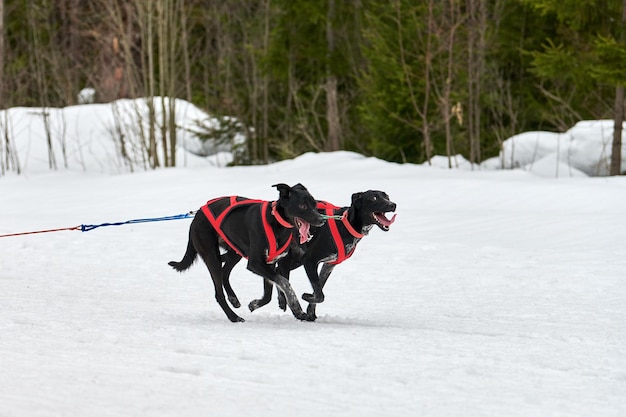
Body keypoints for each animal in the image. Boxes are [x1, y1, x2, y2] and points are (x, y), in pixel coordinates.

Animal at [168, 182, 324, 322]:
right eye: (302, 206)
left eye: (315, 205)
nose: (321, 220)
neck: (276, 222)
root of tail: (197, 215)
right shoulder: (255, 263)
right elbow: (285, 282)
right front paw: (296, 306)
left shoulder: (270, 263)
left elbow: (268, 294)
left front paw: (255, 304)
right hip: (212, 256)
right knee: (219, 293)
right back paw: (233, 317)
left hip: (234, 253)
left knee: (224, 273)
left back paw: (233, 299)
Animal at [244, 190, 394, 320]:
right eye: (374, 198)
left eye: (387, 196)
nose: (393, 205)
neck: (346, 225)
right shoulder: (309, 261)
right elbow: (319, 294)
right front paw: (306, 296)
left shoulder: (328, 265)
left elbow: (319, 288)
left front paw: (311, 312)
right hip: (293, 259)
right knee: (280, 276)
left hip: (295, 260)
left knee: (277, 273)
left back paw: (276, 301)